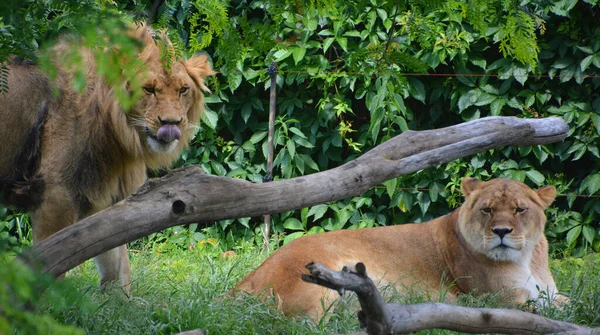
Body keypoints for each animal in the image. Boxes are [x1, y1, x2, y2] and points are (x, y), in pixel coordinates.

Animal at [0, 25, 216, 296]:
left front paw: (119, 300)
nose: (172, 123)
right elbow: (50, 265)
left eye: (182, 90)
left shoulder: (101, 193)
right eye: (149, 89)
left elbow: (115, 259)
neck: (120, 133)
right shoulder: (56, 195)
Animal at [236, 177, 568, 322]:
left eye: (519, 210)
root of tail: (249, 277)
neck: (526, 258)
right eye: (487, 210)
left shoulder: (550, 292)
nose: (501, 232)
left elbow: (568, 300)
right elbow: (553, 310)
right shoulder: (500, 299)